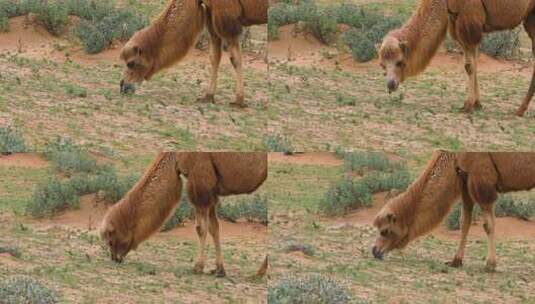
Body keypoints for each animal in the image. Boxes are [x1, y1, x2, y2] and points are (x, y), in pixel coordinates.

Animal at [100, 151, 268, 276]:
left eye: (110, 239)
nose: (114, 258)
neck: (175, 157)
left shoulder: (200, 183)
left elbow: (201, 228)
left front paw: (198, 267)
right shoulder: (209, 189)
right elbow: (214, 227)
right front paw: (219, 270)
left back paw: (260, 273)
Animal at [118, 0, 266, 107]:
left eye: (131, 63)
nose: (123, 86)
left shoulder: (227, 18)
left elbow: (235, 59)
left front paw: (239, 101)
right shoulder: (211, 14)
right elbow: (214, 57)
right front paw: (208, 97)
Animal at [372, 151, 535, 272]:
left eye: (385, 231)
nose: (375, 250)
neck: (453, 158)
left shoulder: (482, 183)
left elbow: (488, 225)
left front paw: (490, 264)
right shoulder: (465, 181)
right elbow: (464, 222)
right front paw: (456, 261)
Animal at [378, 0, 535, 116]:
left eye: (400, 62)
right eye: (382, 64)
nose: (390, 84)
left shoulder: (469, 22)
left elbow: (469, 66)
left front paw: (468, 106)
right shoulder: (458, 22)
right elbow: (473, 64)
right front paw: (477, 104)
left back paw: (520, 110)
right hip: (530, 17)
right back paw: (521, 110)